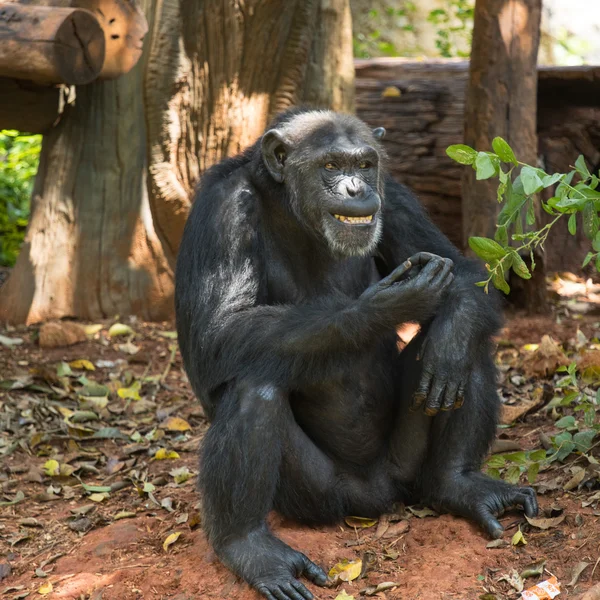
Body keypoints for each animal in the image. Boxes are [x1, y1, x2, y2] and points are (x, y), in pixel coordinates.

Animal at [175, 109, 540, 600]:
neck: (291, 209)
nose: (356, 188)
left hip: (405, 467)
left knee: (467, 351)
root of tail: (375, 499)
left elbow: (463, 275)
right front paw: (385, 305)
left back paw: (460, 482)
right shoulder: (222, 213)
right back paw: (250, 548)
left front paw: (447, 338)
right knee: (254, 388)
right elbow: (218, 330)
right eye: (330, 166)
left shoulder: (396, 197)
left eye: (365, 165)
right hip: (319, 494)